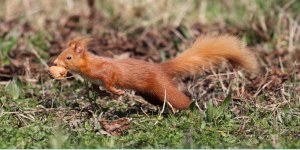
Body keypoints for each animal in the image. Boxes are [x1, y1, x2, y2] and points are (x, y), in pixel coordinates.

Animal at [53, 35, 258, 110]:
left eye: (68, 57)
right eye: (61, 53)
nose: (55, 63)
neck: (89, 67)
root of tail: (161, 68)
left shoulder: (107, 71)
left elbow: (110, 80)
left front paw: (117, 92)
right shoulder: (96, 81)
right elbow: (98, 89)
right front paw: (102, 94)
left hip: (162, 87)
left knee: (181, 100)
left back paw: (194, 110)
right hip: (150, 94)